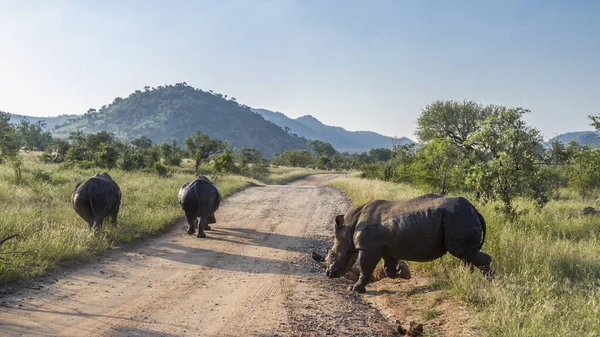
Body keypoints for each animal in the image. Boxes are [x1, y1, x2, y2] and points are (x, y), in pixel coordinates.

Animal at [326, 193, 494, 292]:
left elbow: (365, 269)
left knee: (462, 252)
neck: (349, 226)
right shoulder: (388, 249)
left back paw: (490, 284)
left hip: (459, 217)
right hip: (460, 217)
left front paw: (354, 288)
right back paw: (467, 280)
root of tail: (476, 211)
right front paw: (403, 273)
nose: (328, 274)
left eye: (332, 255)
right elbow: (389, 269)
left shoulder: (368, 248)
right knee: (466, 255)